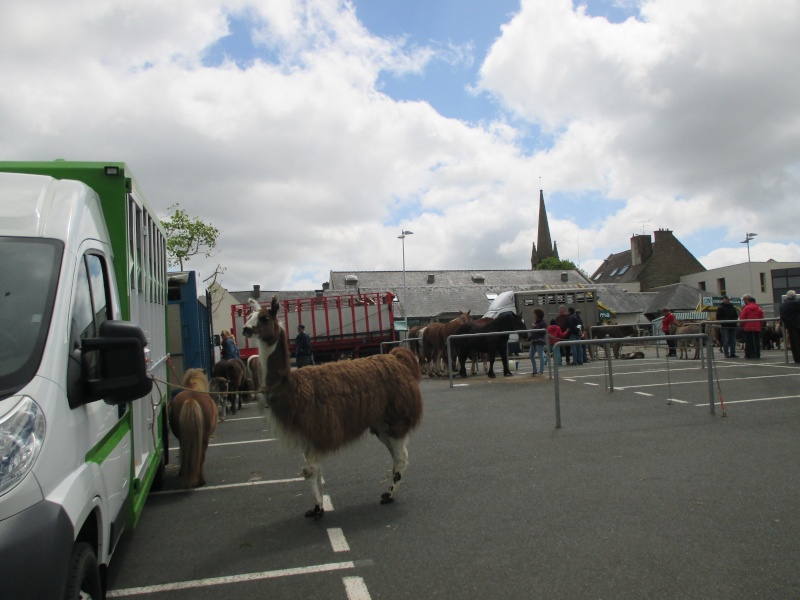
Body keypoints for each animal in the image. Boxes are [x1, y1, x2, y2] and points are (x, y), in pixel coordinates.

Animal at [239, 296, 422, 520]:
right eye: (249, 315)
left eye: (264, 318)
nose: (245, 329)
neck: (291, 387)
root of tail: (397, 357)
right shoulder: (308, 436)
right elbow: (314, 471)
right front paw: (317, 506)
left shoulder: (321, 431)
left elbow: (308, 470)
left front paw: (318, 508)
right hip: (380, 423)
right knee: (396, 455)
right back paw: (388, 493)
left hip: (397, 417)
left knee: (401, 456)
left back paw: (388, 495)